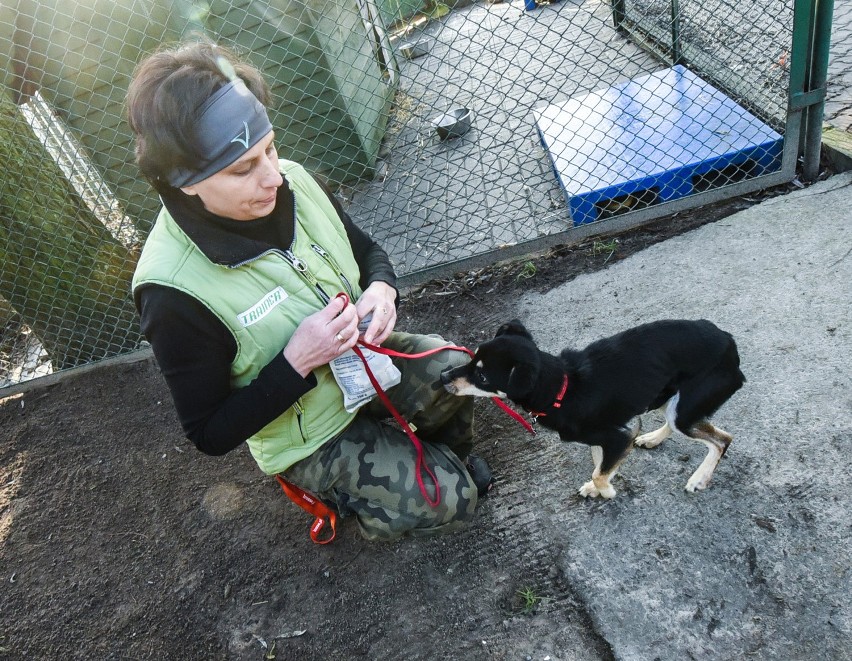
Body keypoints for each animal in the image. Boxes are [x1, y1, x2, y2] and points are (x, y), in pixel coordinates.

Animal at [442, 318, 744, 498]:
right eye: (473, 358)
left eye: (482, 376)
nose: (443, 377)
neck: (563, 389)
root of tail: (729, 340)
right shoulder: (612, 436)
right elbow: (600, 464)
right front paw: (600, 486)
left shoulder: (618, 435)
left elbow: (599, 472)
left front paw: (607, 491)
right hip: (666, 397)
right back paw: (652, 439)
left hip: (685, 406)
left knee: (722, 440)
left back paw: (700, 478)